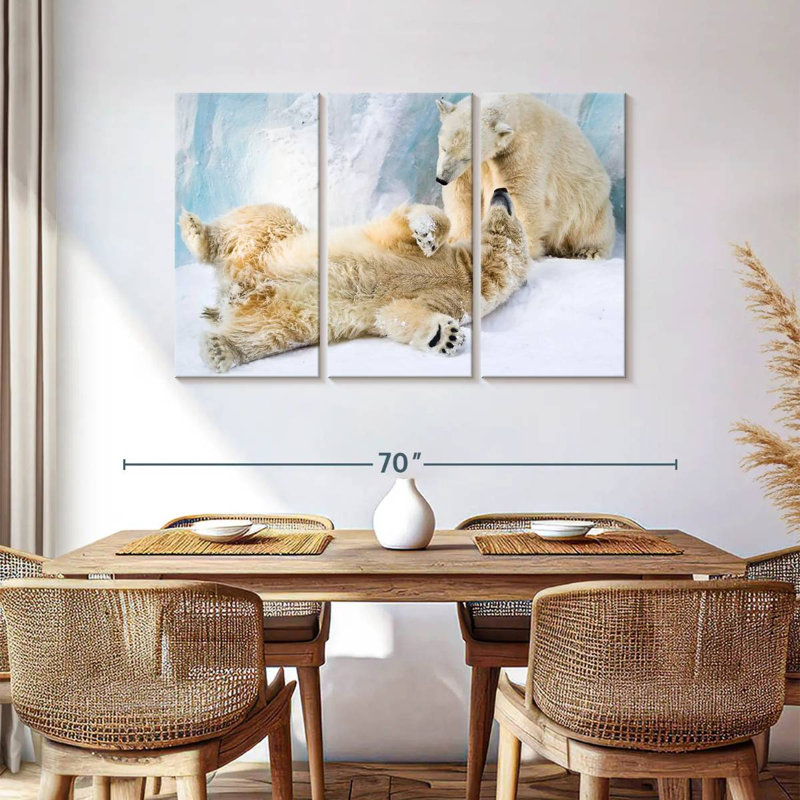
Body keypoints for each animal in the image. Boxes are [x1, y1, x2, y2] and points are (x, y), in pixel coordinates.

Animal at [179, 189, 529, 373]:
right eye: (511, 208)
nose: (501, 191)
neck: (468, 272)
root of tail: (235, 286)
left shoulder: (455, 300)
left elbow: (397, 314)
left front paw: (445, 336)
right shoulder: (405, 247)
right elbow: (409, 224)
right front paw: (427, 233)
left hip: (286, 313)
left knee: (267, 335)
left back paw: (220, 348)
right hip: (272, 240)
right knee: (259, 217)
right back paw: (196, 231)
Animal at [435, 94, 616, 260]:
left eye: (466, 157)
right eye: (444, 148)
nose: (441, 179)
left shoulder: (525, 150)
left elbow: (521, 194)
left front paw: (518, 247)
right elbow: (462, 193)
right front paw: (457, 240)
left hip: (588, 201)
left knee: (591, 226)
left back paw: (589, 251)